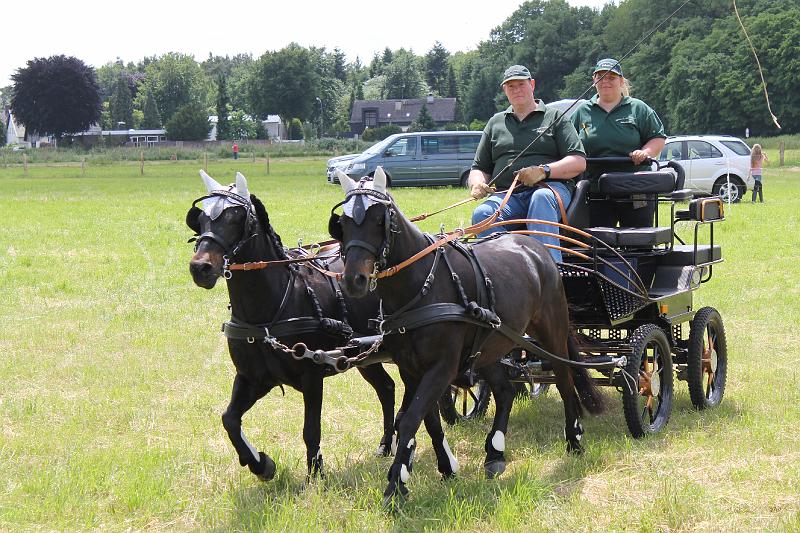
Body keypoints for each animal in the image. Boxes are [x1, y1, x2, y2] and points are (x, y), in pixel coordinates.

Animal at [188, 172, 400, 480]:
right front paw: (261, 464)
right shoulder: (253, 378)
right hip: (364, 356)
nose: (200, 268)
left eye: (236, 218)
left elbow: (310, 430)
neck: (268, 312)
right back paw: (385, 446)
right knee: (386, 388)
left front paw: (316, 474)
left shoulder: (312, 376)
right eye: (201, 218)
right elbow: (229, 419)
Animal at [328, 167, 604, 502]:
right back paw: (495, 454)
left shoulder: (442, 367)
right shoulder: (411, 368)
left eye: (380, 218)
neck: (421, 286)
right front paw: (444, 467)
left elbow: (410, 419)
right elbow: (426, 420)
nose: (353, 280)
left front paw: (395, 485)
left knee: (564, 380)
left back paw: (574, 439)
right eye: (342, 223)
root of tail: (537, 249)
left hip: (552, 331)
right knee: (505, 390)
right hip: (491, 345)